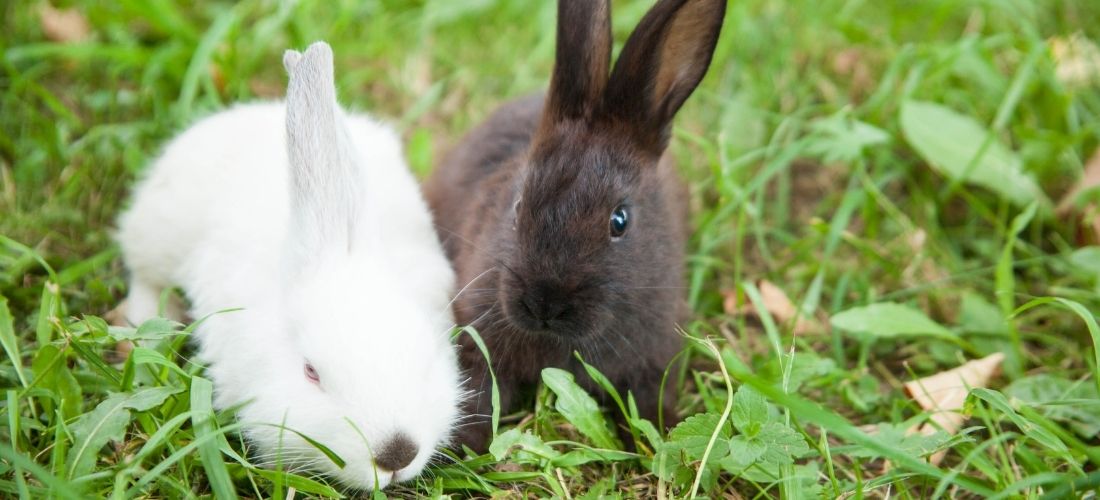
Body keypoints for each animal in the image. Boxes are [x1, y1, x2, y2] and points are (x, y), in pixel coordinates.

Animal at [424, 0, 726, 450]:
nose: (544, 305)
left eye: (620, 220)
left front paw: (666, 439)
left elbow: (650, 406)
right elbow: (480, 393)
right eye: (517, 206)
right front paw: (459, 447)